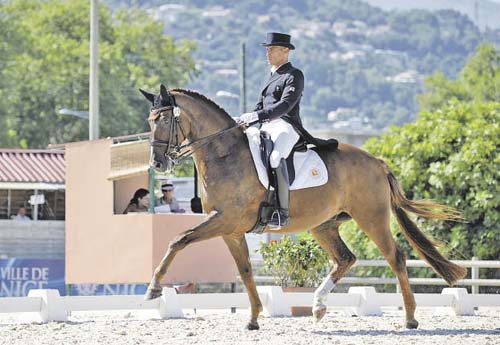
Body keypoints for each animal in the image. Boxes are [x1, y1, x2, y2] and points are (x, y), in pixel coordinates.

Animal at [139, 84, 466, 330]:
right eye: (149, 121)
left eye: (164, 120)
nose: (158, 164)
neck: (224, 155)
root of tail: (377, 161)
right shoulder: (230, 229)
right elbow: (245, 270)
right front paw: (254, 318)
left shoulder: (224, 219)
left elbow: (178, 239)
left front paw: (153, 288)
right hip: (324, 224)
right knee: (345, 259)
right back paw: (318, 307)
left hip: (371, 218)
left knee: (395, 258)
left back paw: (410, 318)